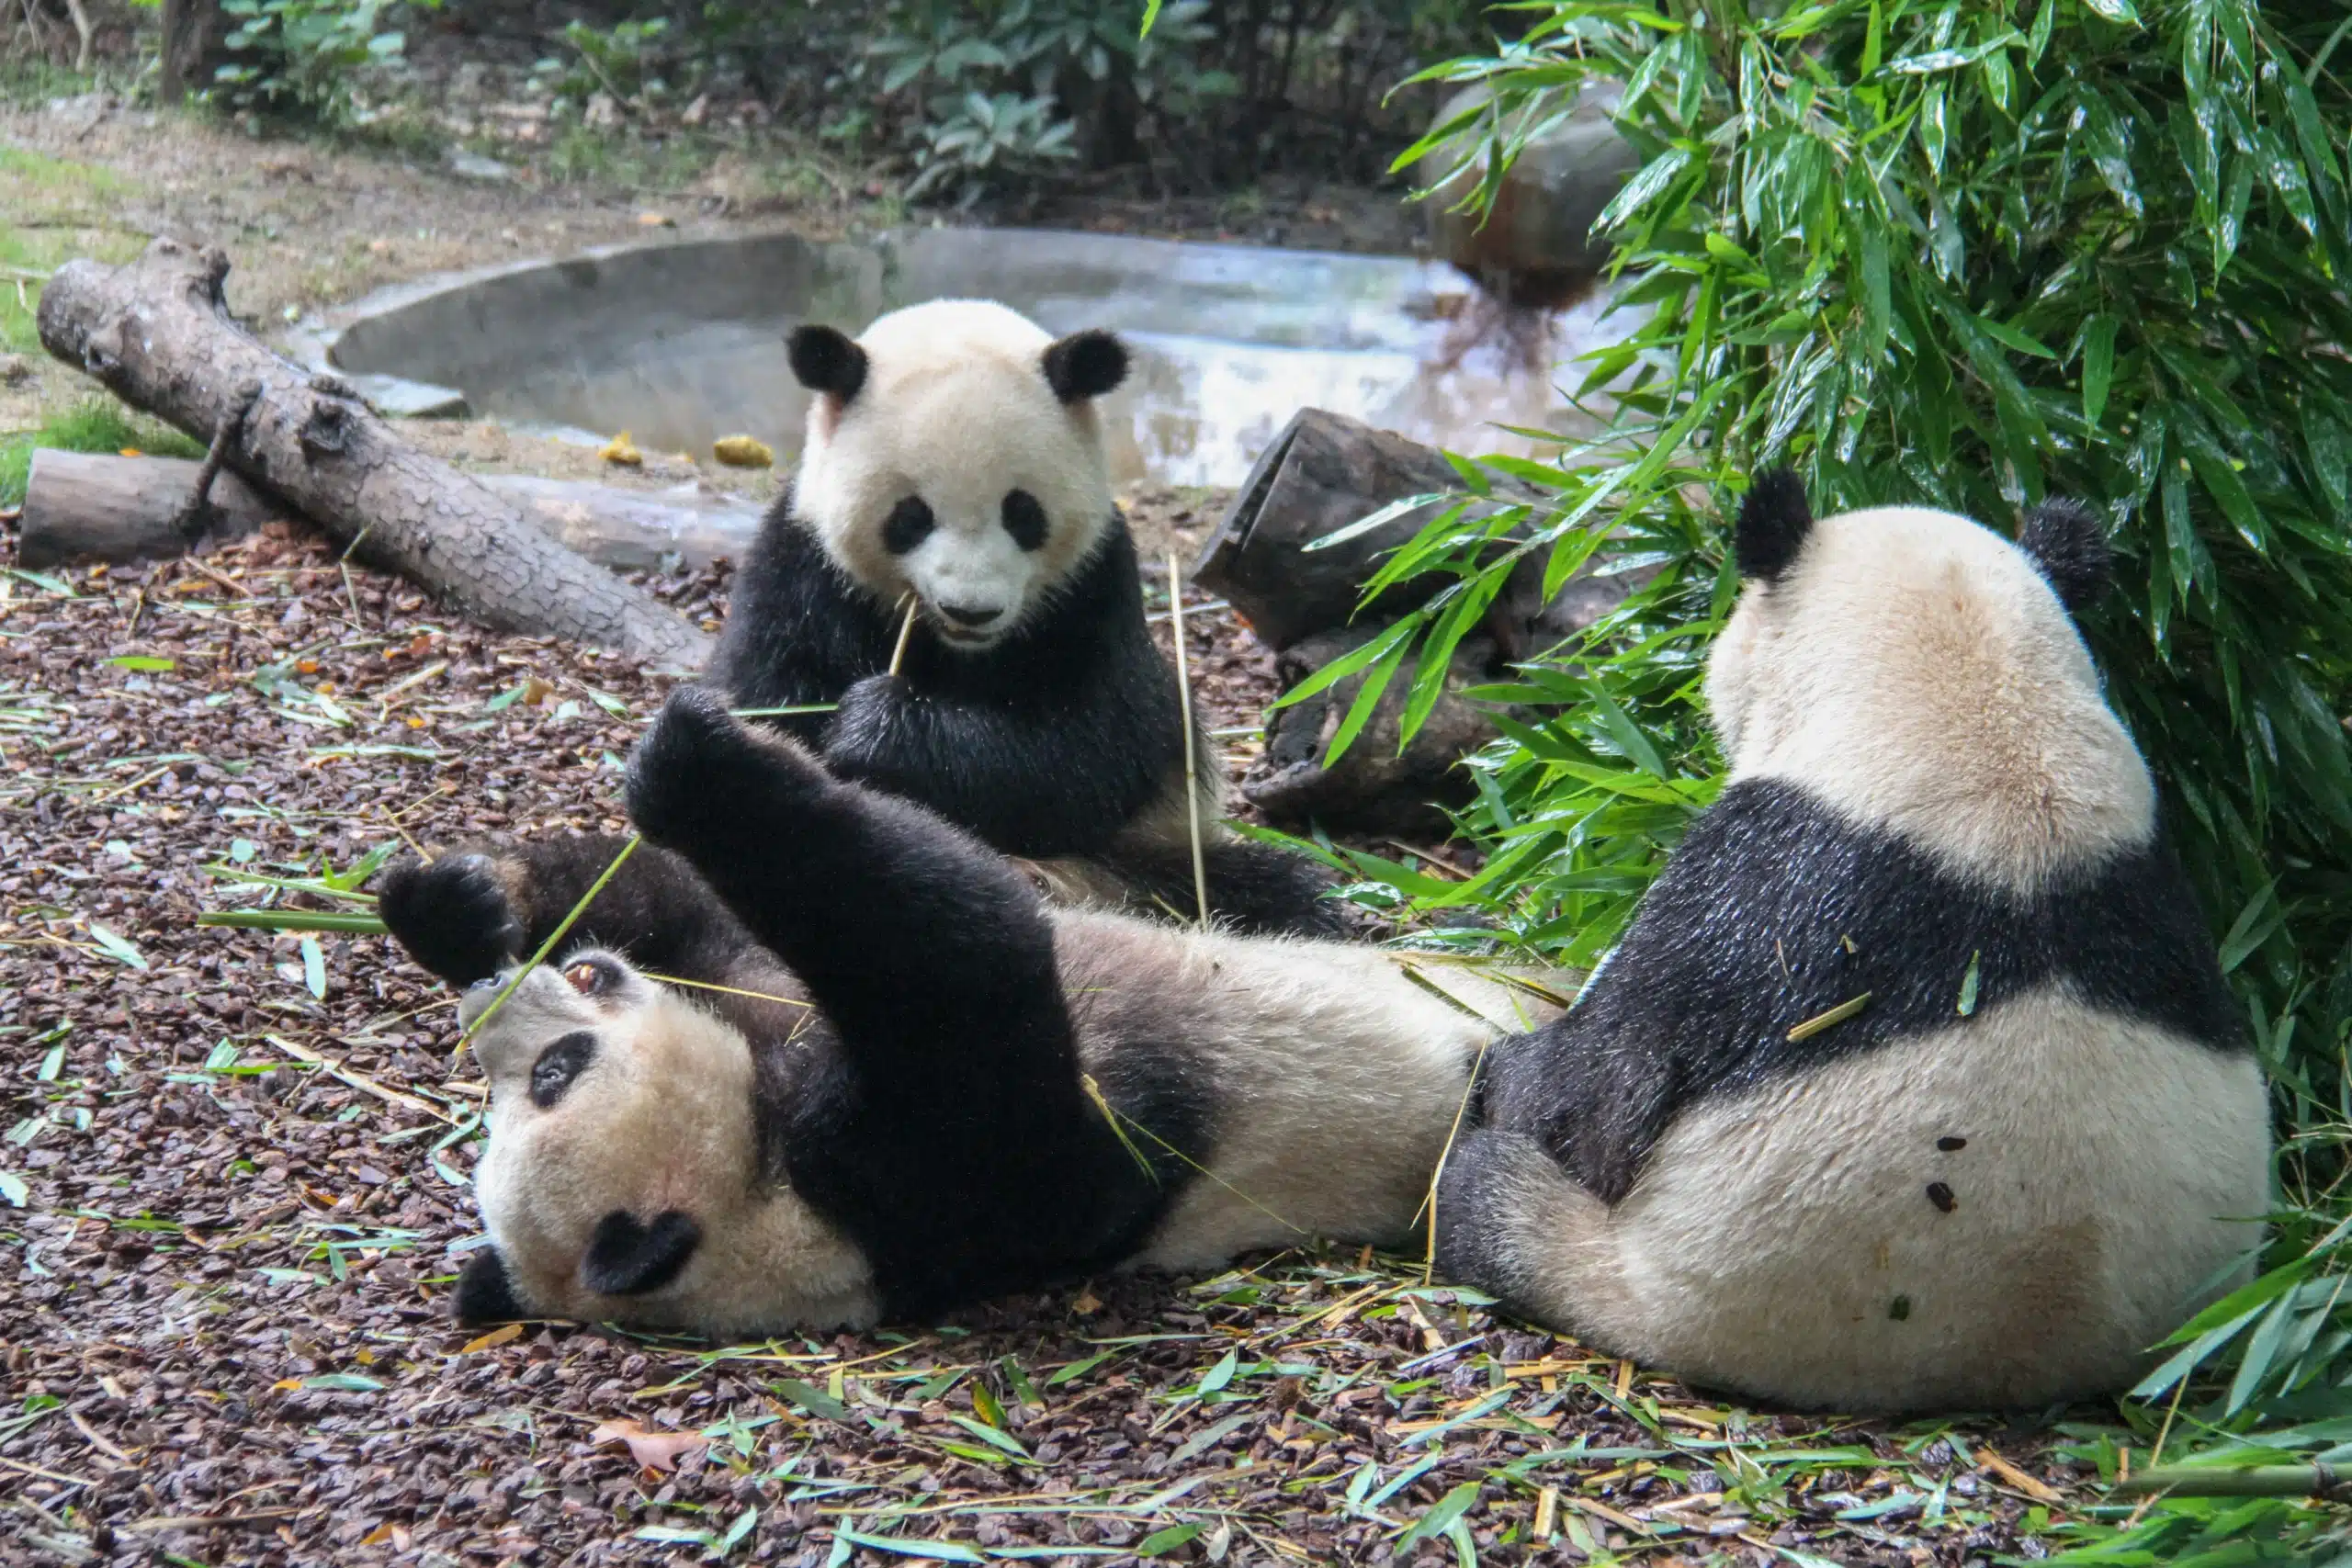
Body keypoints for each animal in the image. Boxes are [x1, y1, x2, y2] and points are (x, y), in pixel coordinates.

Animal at [385, 691, 1552, 1335]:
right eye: (550, 1079)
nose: (489, 1007)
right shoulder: (930, 1180)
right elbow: (974, 958)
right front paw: (705, 768)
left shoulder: (750, 995)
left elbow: (682, 909)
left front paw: (462, 905)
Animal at [700, 300, 1345, 940]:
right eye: (911, 516)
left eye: (1022, 513)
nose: (971, 609)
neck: (959, 648)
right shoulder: (801, 563)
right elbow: (768, 698)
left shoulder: (1094, 585)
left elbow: (1093, 749)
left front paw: (880, 728)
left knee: (1260, 888)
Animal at [1430, 472, 2277, 1419]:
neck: (1991, 716)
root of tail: (2004, 1355)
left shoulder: (1753, 886)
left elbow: (1593, 1094)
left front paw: (1514, 1062)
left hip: (1665, 1276)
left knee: (1494, 1200)